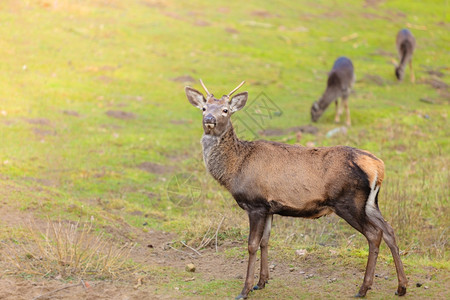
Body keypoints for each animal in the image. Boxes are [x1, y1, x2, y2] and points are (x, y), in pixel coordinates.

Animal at [185, 80, 408, 300]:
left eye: (225, 110)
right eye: (204, 108)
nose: (210, 119)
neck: (236, 167)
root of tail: (378, 166)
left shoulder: (255, 204)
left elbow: (251, 245)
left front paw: (244, 290)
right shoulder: (269, 208)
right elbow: (265, 241)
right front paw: (262, 282)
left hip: (348, 201)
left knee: (374, 234)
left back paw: (363, 289)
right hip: (370, 203)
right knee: (389, 230)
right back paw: (401, 287)